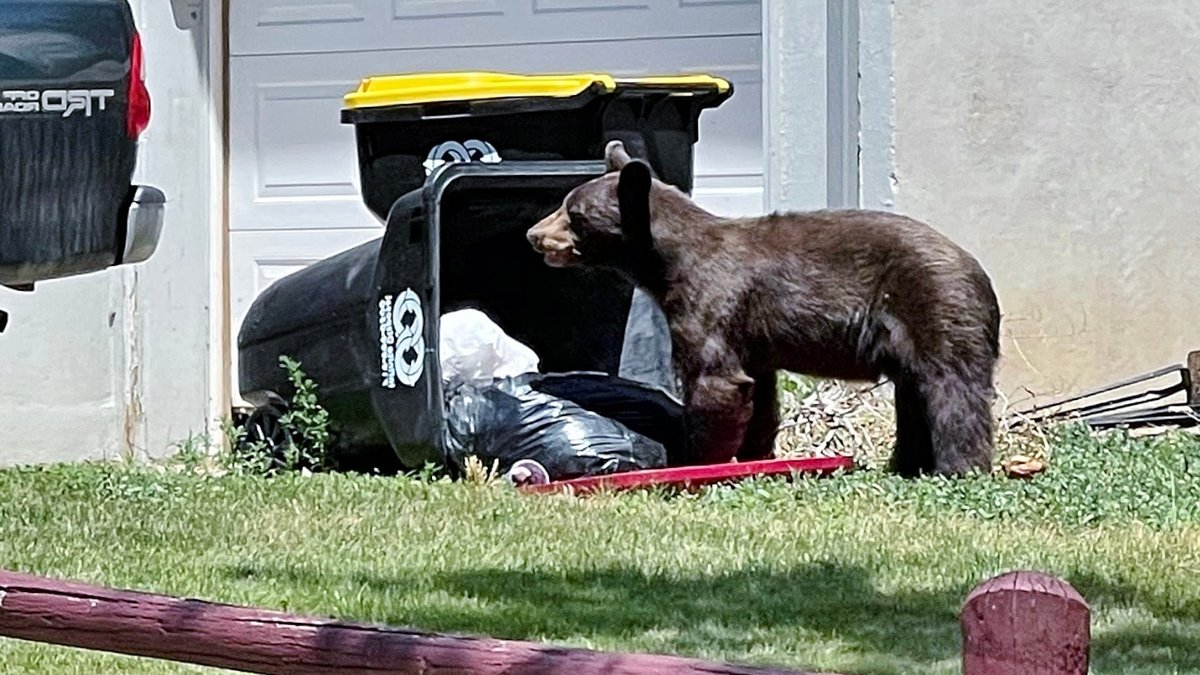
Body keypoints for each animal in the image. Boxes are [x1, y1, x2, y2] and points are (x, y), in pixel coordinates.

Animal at [525, 140, 1001, 477]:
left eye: (574, 214)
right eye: (566, 203)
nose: (533, 234)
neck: (669, 264)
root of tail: (981, 275)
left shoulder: (711, 303)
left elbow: (715, 382)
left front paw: (697, 462)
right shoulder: (753, 337)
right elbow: (759, 395)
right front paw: (756, 455)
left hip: (935, 307)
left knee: (951, 391)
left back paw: (958, 467)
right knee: (915, 395)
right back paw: (907, 465)